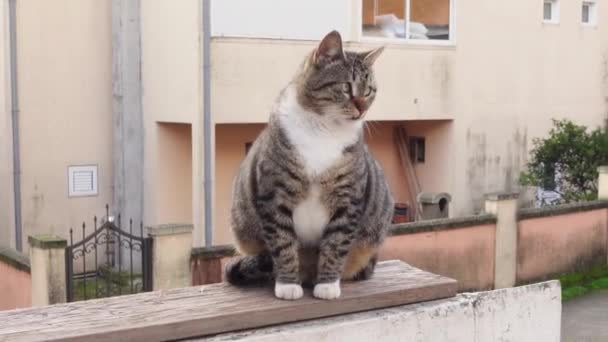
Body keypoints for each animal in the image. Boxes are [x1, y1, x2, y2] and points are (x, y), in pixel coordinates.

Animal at [224, 31, 394, 300]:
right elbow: (283, 244)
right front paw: (287, 284)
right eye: (346, 87)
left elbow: (336, 244)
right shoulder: (274, 193)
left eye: (369, 91)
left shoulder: (348, 198)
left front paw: (327, 285)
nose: (362, 109)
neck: (324, 129)